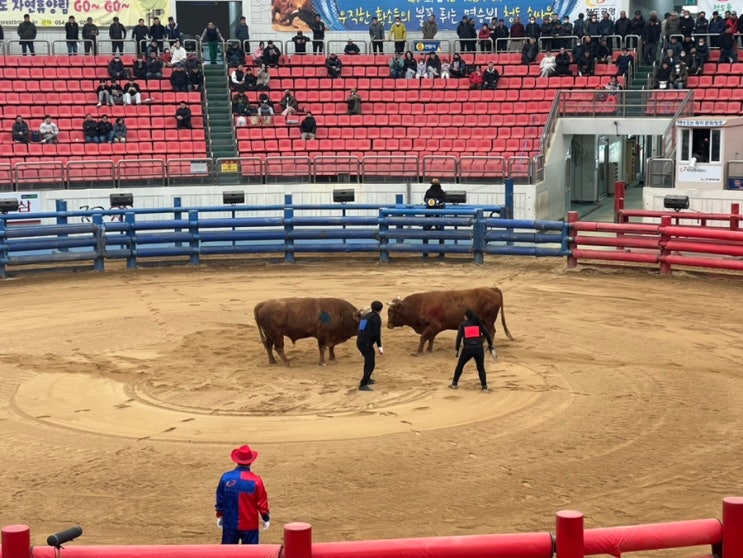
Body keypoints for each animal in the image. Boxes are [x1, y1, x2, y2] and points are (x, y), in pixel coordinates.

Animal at [386, 288, 516, 354]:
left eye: (390, 312)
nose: (388, 325)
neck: (418, 305)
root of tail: (491, 288)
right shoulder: (434, 328)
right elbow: (431, 338)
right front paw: (429, 350)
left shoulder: (434, 325)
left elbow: (423, 337)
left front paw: (418, 351)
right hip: (484, 321)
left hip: (489, 320)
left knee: (491, 332)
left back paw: (489, 348)